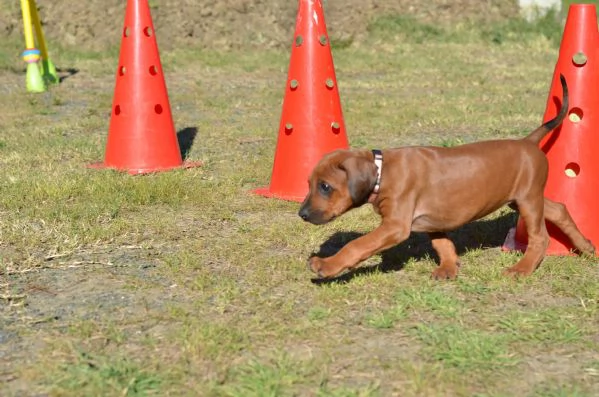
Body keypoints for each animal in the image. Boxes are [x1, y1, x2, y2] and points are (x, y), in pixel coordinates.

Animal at [298, 74, 596, 278]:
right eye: (310, 184)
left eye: (325, 186)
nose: (302, 214)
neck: (382, 171)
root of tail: (528, 142)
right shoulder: (433, 221)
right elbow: (443, 244)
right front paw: (449, 267)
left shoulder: (394, 226)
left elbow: (357, 245)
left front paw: (327, 265)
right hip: (523, 197)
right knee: (560, 209)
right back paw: (586, 246)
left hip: (528, 201)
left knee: (540, 237)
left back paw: (522, 268)